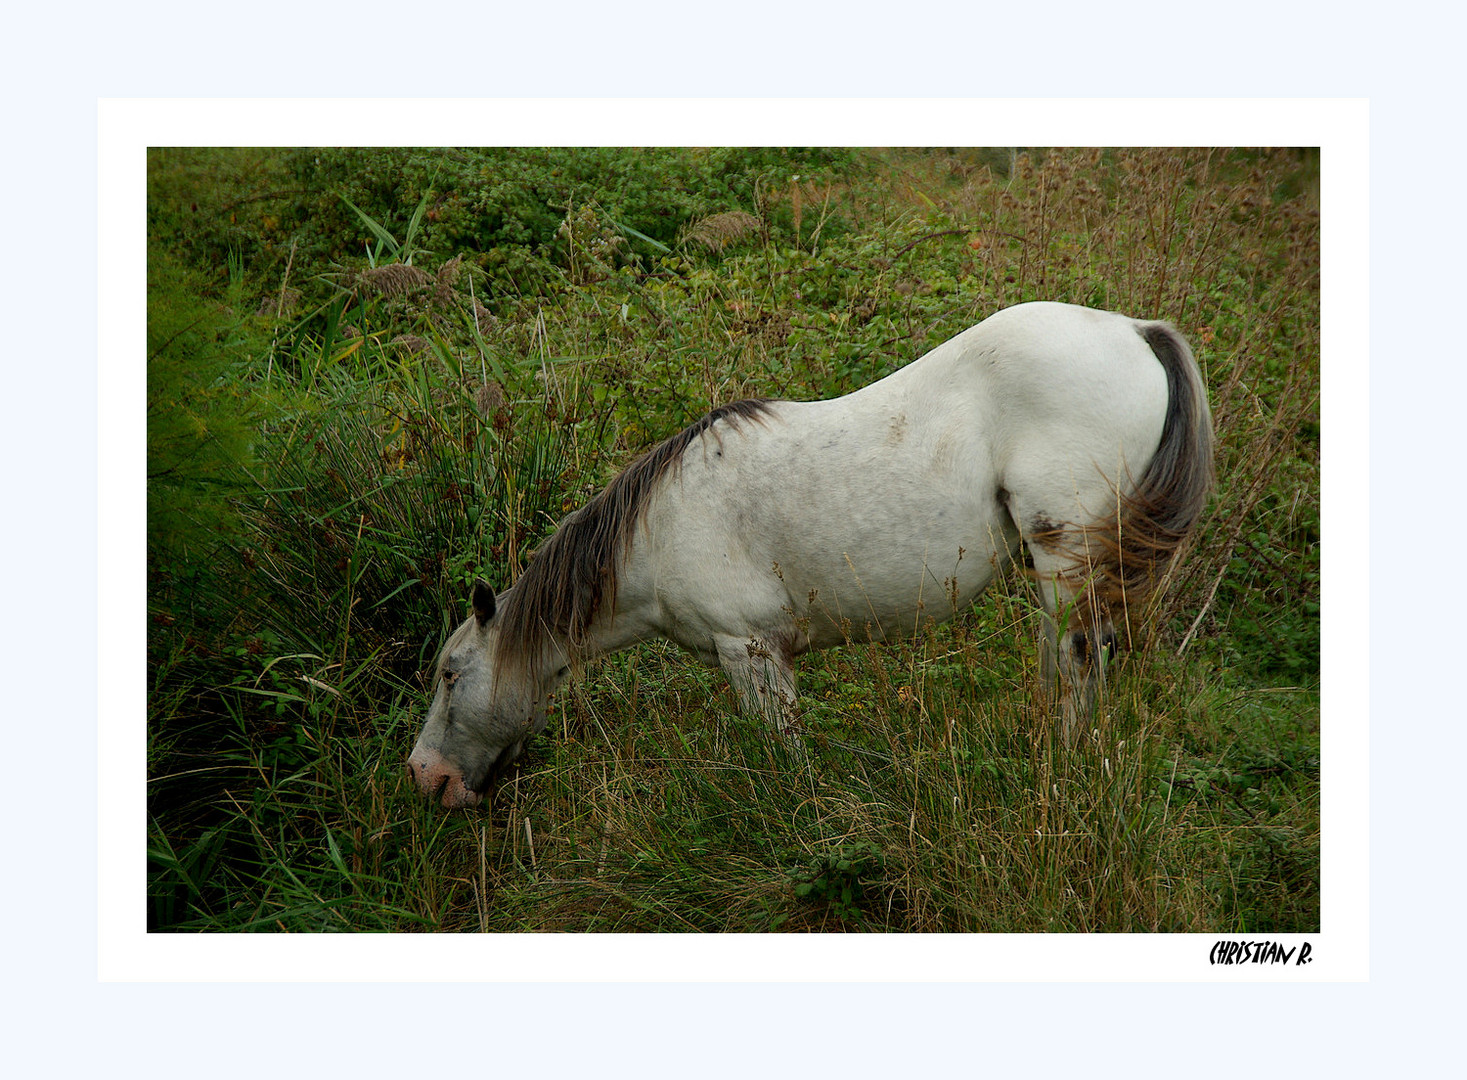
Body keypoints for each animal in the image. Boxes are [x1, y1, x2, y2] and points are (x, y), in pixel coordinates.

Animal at [407, 299, 1208, 804]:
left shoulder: (749, 649)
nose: (425, 776)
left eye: (450, 674)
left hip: (1067, 557)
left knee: (1079, 662)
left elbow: (783, 757)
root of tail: (1133, 330)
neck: (659, 530)